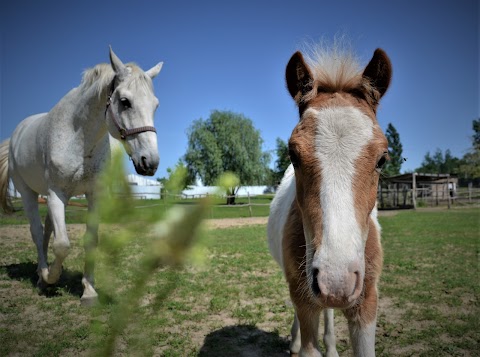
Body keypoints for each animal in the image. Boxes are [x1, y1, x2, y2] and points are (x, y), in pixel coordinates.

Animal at [0, 46, 163, 304]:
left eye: (155, 105)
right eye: (125, 102)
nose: (150, 162)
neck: (79, 138)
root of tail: (17, 133)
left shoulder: (93, 195)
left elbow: (90, 240)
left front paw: (88, 290)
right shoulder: (57, 194)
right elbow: (62, 245)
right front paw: (51, 277)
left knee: (46, 231)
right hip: (28, 193)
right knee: (36, 231)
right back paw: (42, 275)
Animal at [268, 45, 392, 356]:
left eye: (382, 159)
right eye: (293, 154)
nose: (335, 281)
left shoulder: (367, 303)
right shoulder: (304, 295)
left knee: (329, 310)